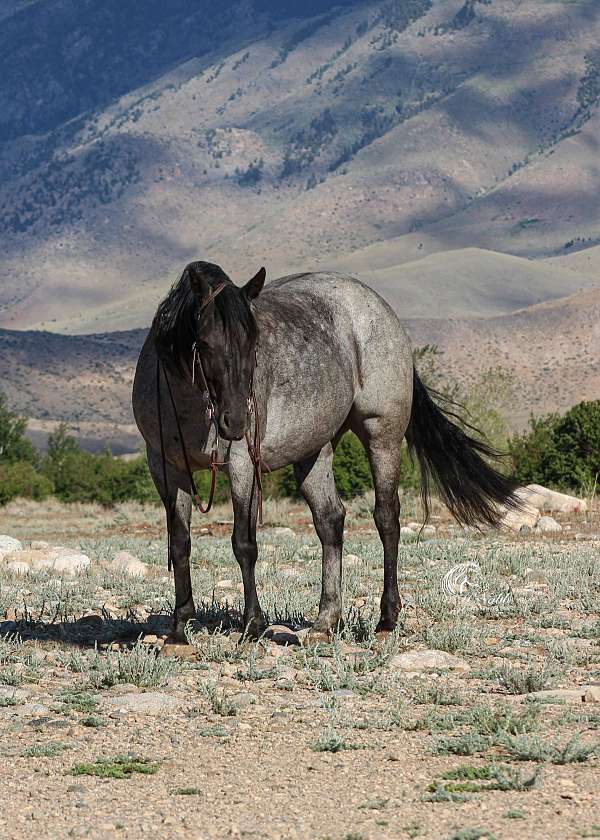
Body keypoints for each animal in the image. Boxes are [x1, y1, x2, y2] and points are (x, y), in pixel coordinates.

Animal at [132, 261, 518, 643]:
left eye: (254, 342)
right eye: (205, 342)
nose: (238, 420)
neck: (188, 403)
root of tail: (378, 305)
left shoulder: (242, 464)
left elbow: (244, 543)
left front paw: (252, 625)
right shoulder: (165, 468)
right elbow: (180, 544)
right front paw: (179, 629)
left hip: (382, 436)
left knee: (387, 518)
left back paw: (386, 619)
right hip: (314, 451)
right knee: (330, 521)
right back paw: (325, 621)